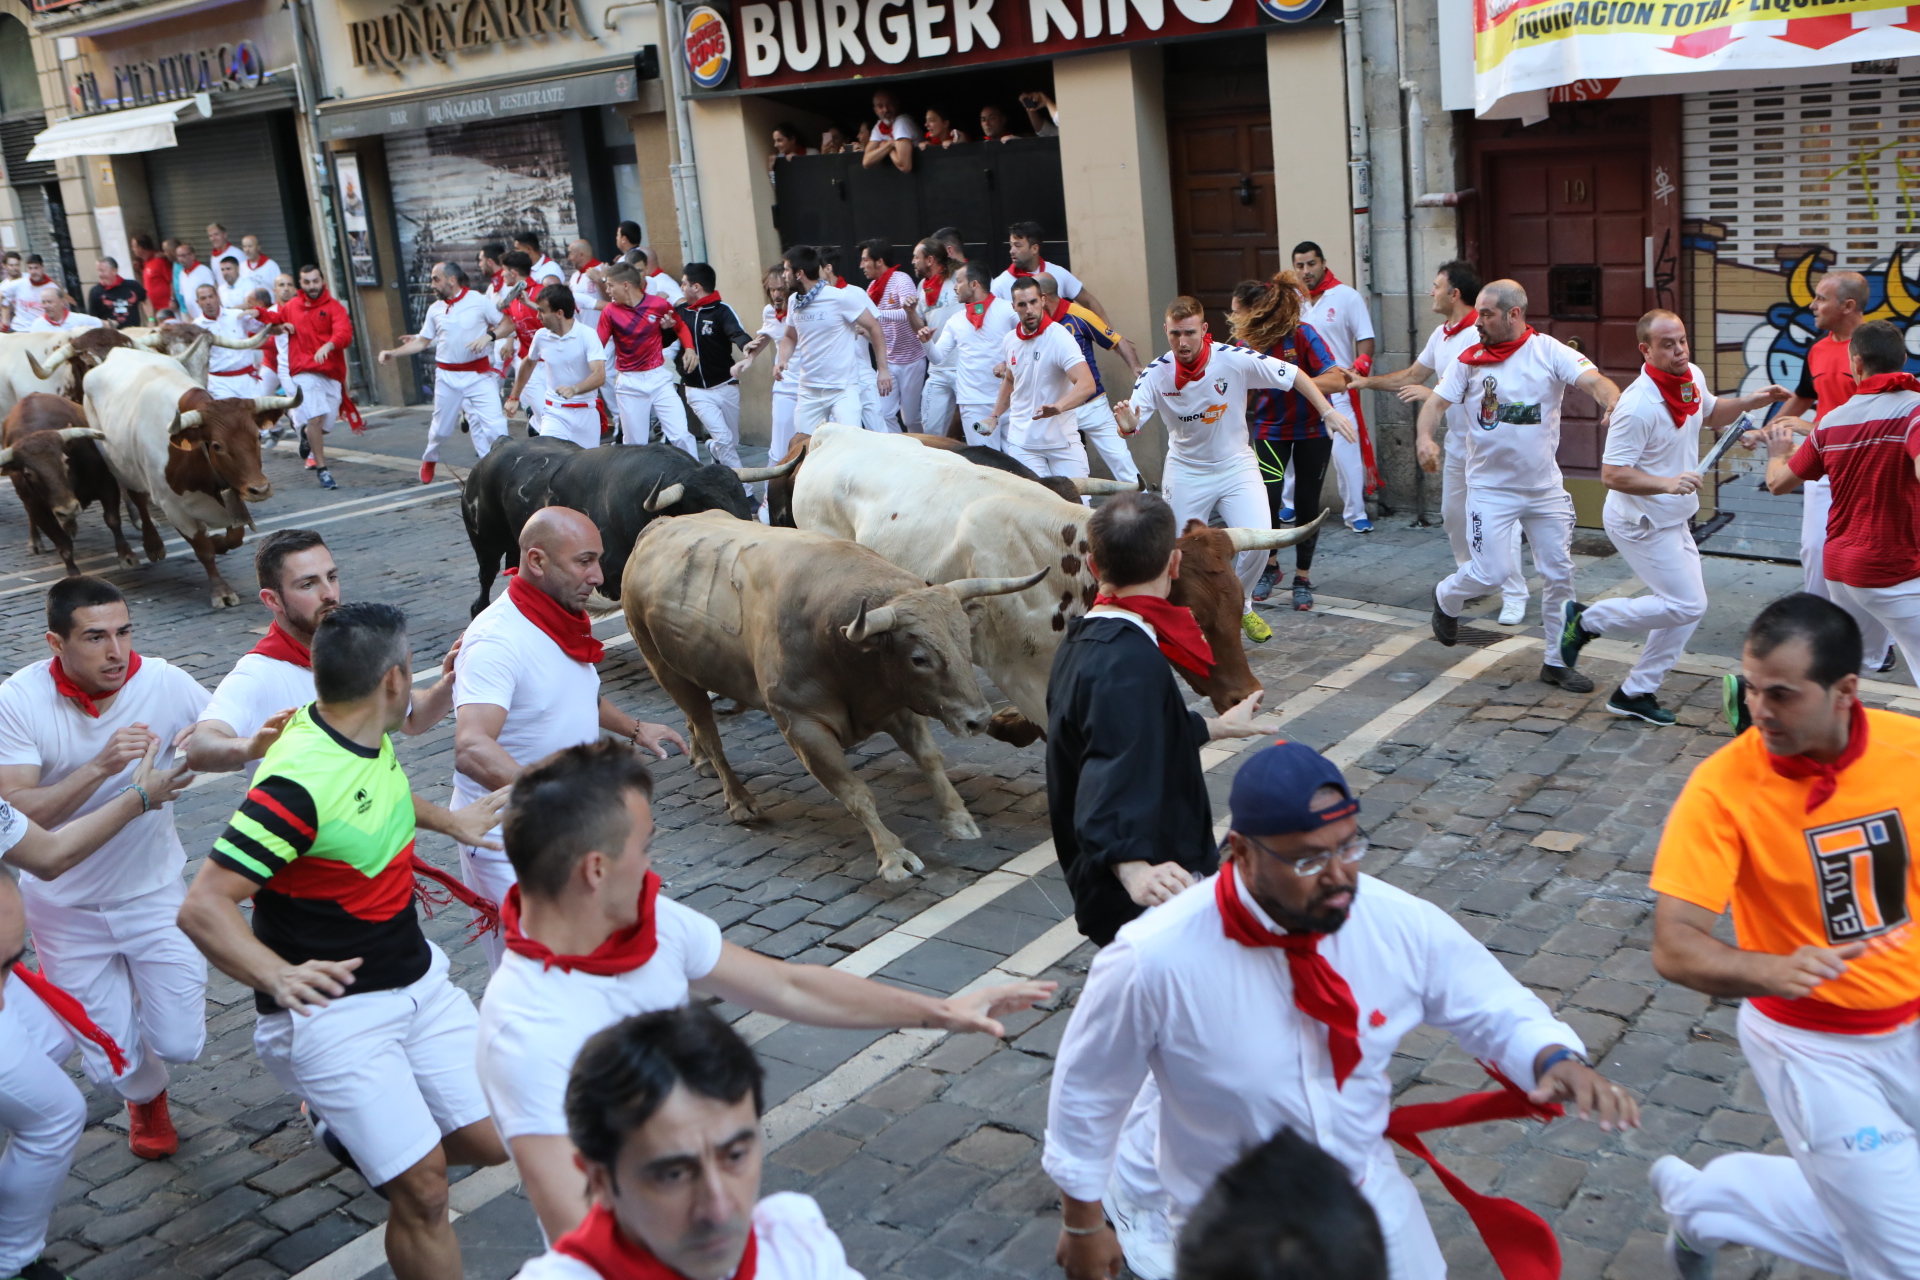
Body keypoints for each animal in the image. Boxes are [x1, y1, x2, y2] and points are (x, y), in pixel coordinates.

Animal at [622, 510, 1044, 882]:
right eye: (919, 658)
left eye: (965, 641)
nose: (979, 719)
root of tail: (656, 527)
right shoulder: (802, 726)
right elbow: (855, 792)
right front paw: (893, 855)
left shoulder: (896, 703)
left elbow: (929, 758)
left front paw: (958, 818)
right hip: (666, 669)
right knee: (708, 730)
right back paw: (738, 799)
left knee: (696, 724)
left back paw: (700, 760)